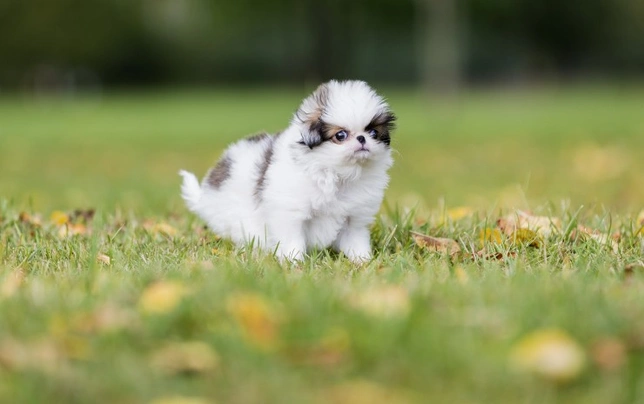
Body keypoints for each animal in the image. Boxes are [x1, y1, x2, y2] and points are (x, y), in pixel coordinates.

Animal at [179, 79, 394, 262]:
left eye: (373, 132)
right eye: (340, 135)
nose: (362, 139)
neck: (336, 174)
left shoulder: (354, 218)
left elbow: (356, 240)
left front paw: (362, 261)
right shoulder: (290, 212)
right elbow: (292, 239)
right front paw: (294, 262)